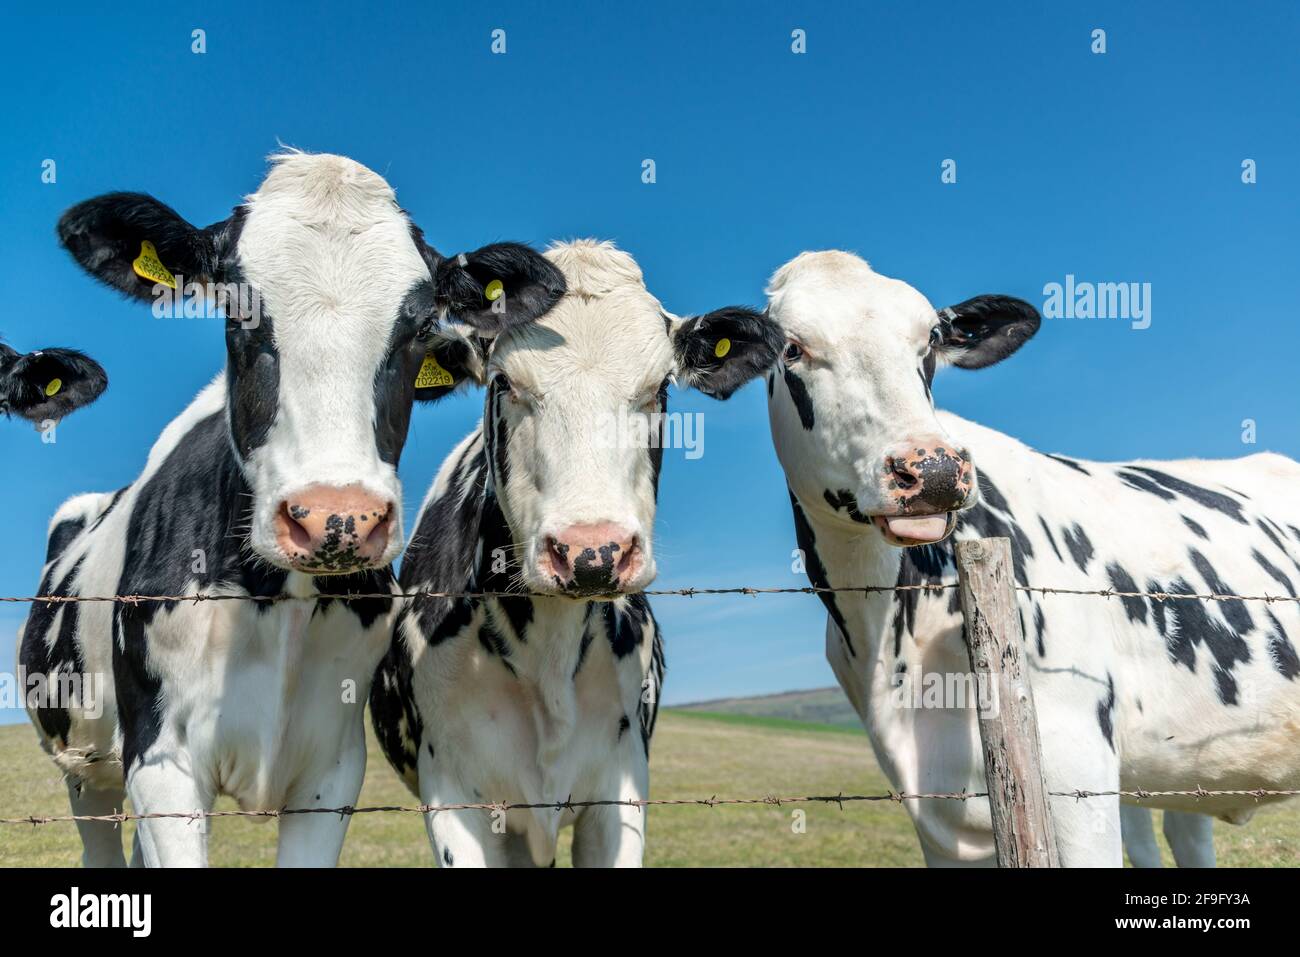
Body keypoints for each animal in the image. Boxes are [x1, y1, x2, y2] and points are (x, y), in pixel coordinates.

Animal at [17, 151, 561, 868]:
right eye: (237, 315)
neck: (275, 601)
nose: (336, 517)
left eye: (419, 328)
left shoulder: (333, 770)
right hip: (86, 765)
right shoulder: (161, 762)